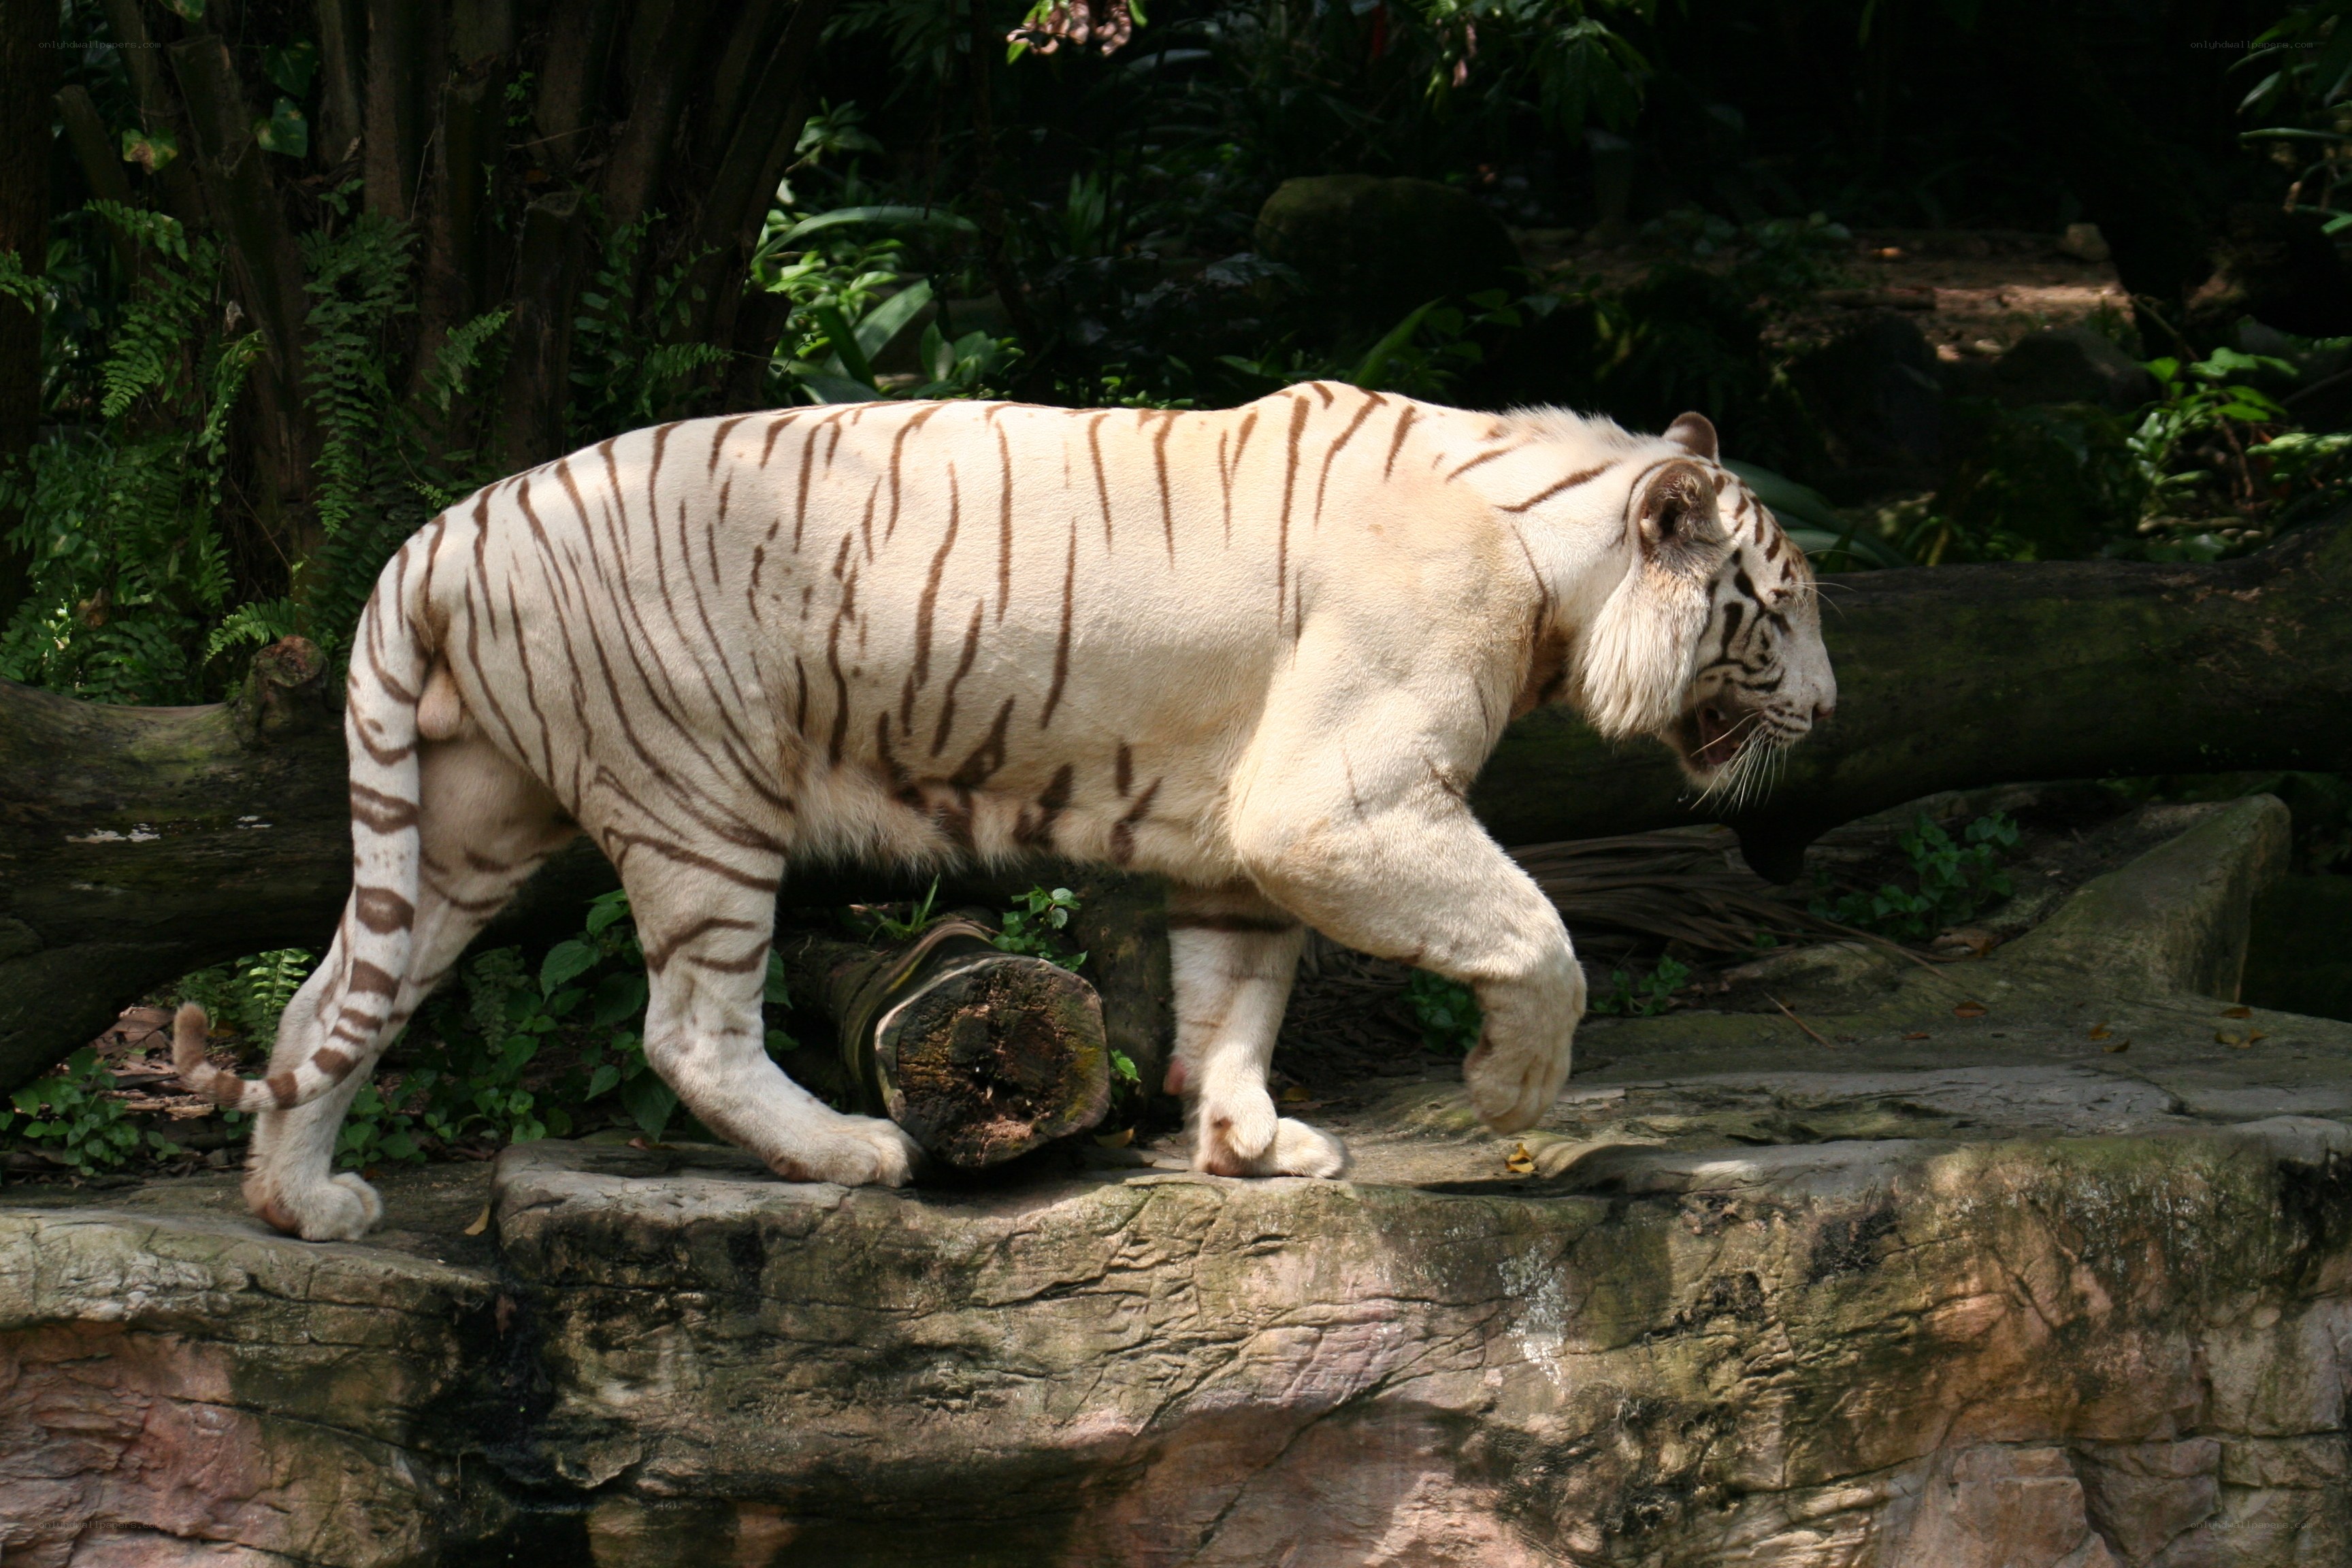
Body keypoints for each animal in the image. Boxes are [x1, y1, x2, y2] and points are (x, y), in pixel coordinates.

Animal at [173, 384, 1833, 1241]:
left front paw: (1243, 1145)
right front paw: (1510, 1094)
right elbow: (1537, 934)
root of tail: (439, 534)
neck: (1554, 572)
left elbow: (1234, 993)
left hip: (470, 819)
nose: (1826, 713)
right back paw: (853, 1154)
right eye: (1783, 607)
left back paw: (300, 1202)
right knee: (687, 1029)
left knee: (331, 999)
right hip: (701, 787)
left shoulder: (1251, 831)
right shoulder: (1338, 801)